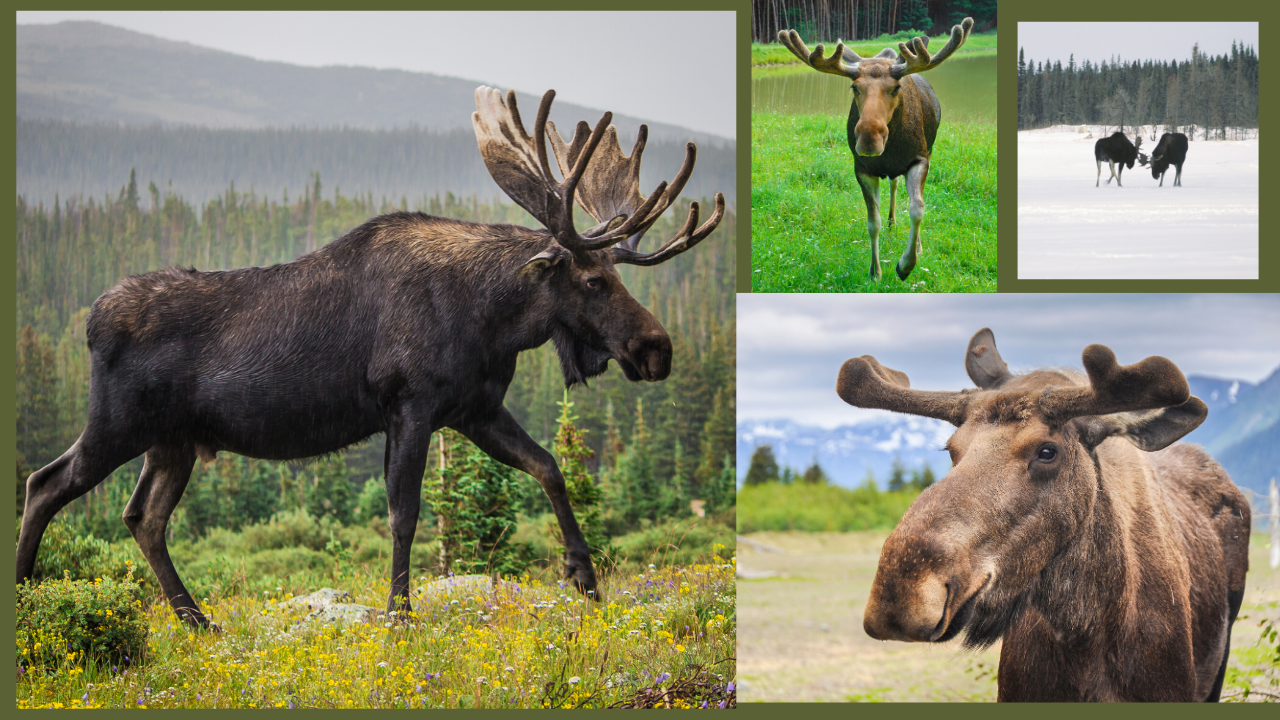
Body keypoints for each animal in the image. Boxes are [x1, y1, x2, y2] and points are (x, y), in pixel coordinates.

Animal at [16, 87, 725, 629]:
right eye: (593, 280)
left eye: (616, 274)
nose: (657, 349)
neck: (490, 318)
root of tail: (90, 321)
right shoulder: (409, 405)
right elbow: (404, 514)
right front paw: (400, 614)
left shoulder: (474, 410)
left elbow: (549, 466)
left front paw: (583, 574)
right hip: (120, 422)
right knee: (45, 483)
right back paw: (29, 597)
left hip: (174, 440)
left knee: (144, 517)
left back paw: (197, 620)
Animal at [778, 17, 974, 281]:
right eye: (854, 87)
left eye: (896, 87)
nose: (869, 140)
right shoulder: (862, 168)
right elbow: (873, 222)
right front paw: (875, 271)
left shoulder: (920, 158)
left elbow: (917, 208)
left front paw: (906, 264)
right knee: (893, 183)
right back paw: (892, 222)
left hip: (930, 149)